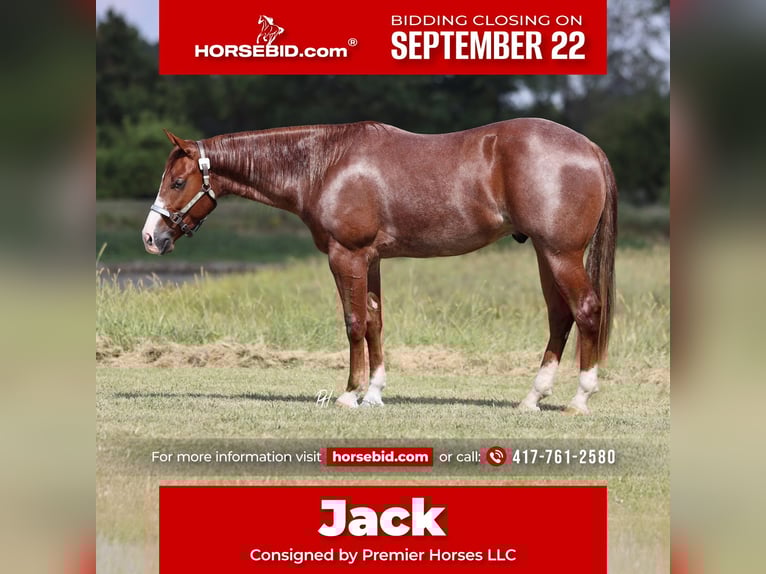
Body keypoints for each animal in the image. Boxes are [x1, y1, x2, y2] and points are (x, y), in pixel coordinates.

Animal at [142, 119, 616, 414]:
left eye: (178, 182)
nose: (150, 237)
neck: (325, 164)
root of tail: (590, 147)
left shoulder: (346, 255)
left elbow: (353, 322)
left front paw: (350, 394)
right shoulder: (369, 260)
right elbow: (374, 322)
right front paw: (374, 393)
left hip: (560, 253)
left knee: (586, 310)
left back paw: (580, 399)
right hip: (545, 254)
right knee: (560, 317)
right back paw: (532, 398)